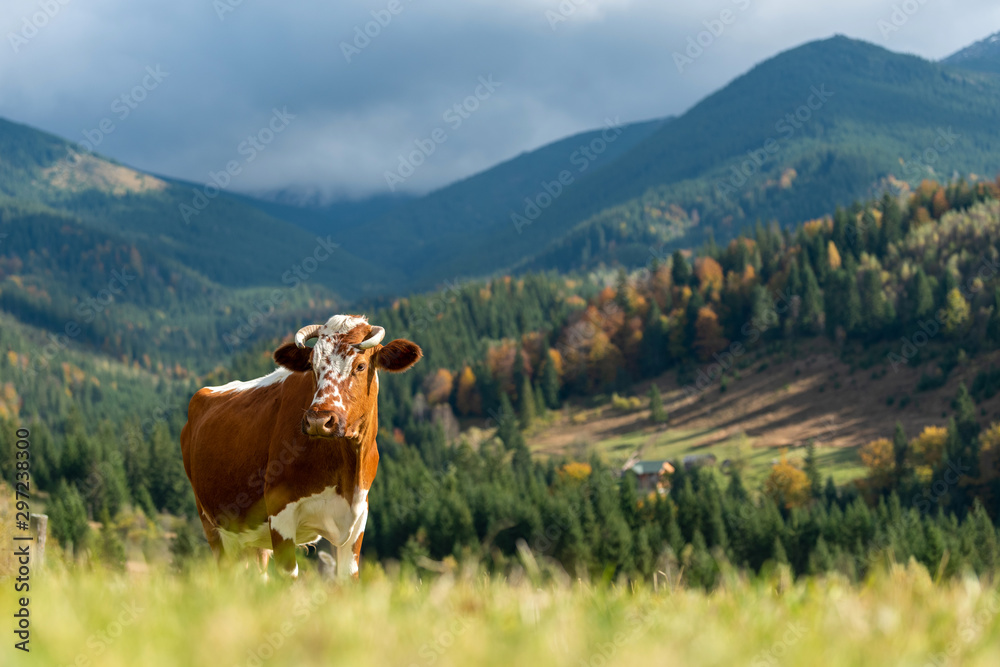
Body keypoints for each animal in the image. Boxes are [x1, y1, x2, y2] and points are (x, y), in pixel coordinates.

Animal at [182, 314, 420, 580]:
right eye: (313, 367)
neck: (346, 467)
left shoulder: (357, 519)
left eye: (360, 366)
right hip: (213, 527)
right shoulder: (280, 513)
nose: (318, 420)